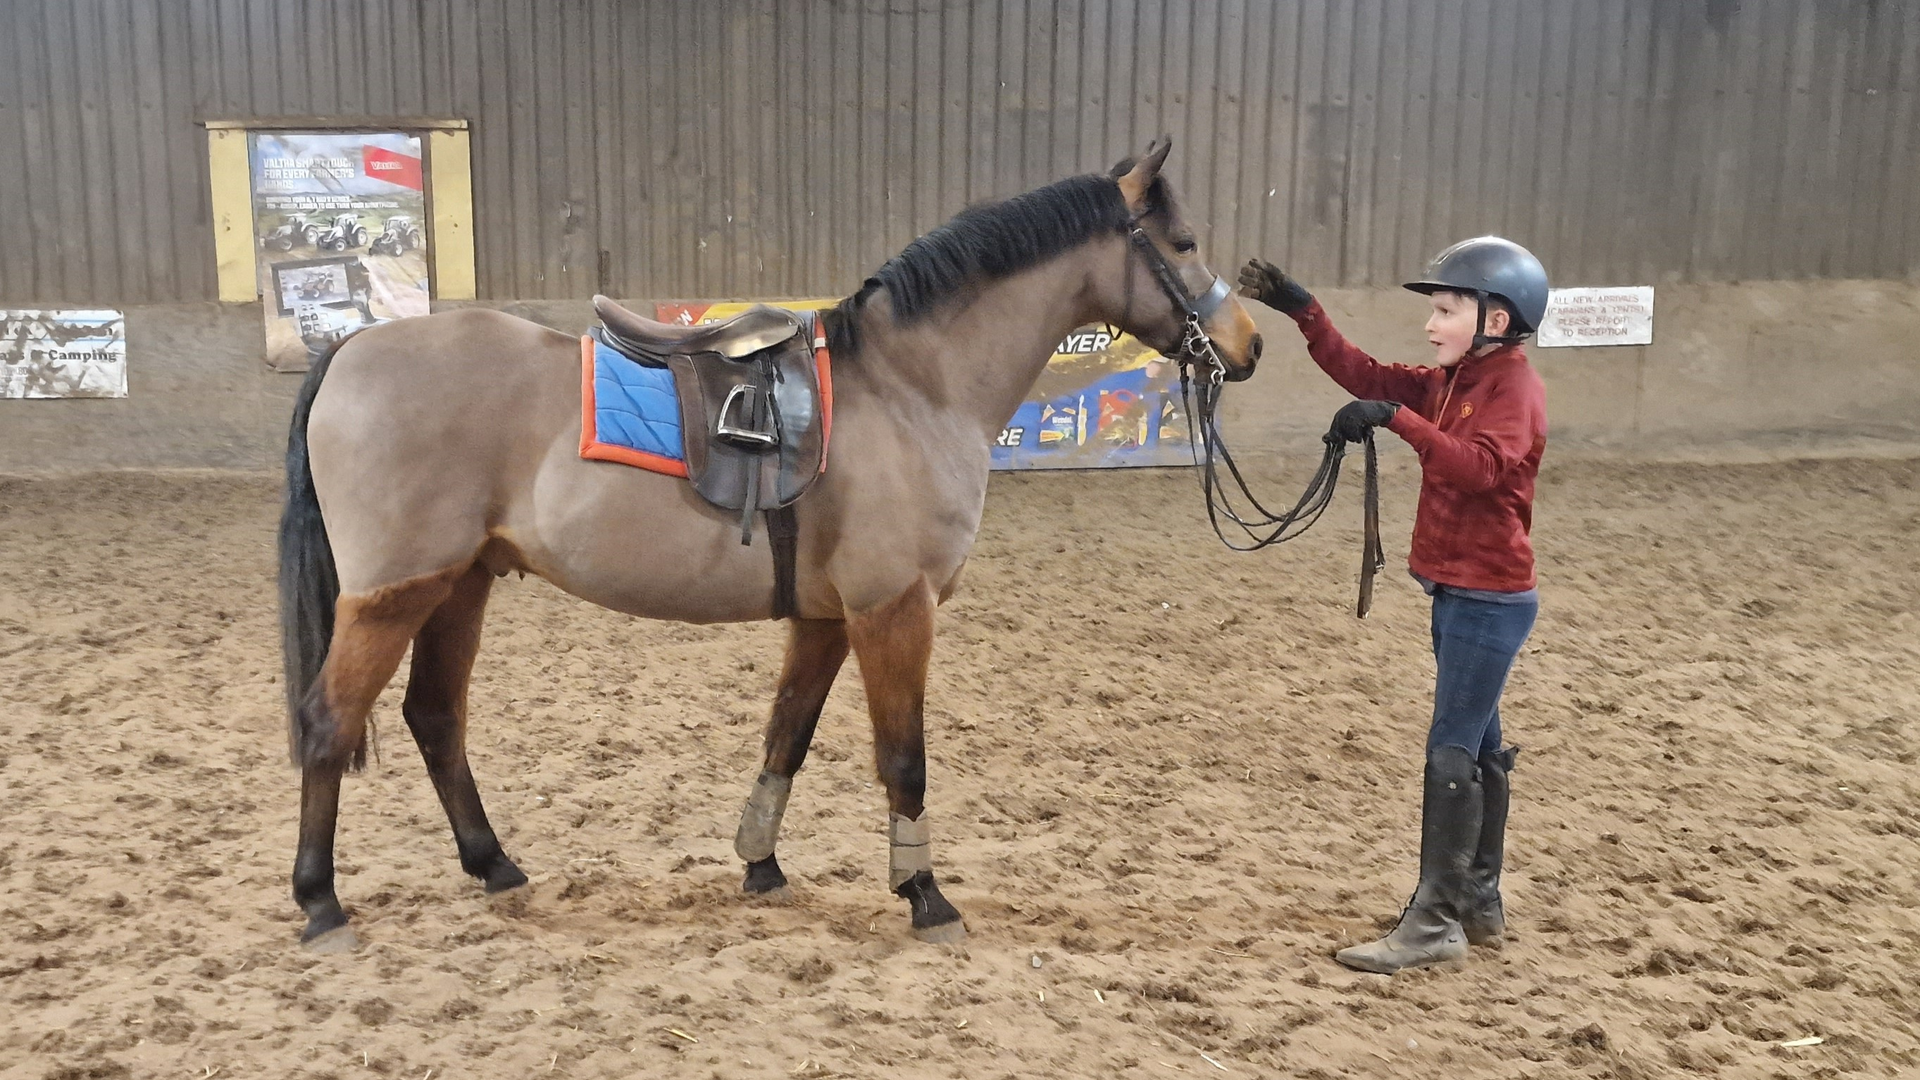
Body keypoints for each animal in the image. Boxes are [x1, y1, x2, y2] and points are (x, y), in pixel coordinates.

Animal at [278, 136, 1262, 949]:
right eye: (1181, 243)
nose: (1247, 343)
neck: (909, 386)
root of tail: (352, 350)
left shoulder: (826, 619)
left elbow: (787, 735)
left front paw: (761, 863)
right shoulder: (893, 610)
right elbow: (904, 759)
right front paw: (925, 895)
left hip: (461, 584)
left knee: (434, 717)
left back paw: (493, 864)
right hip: (396, 593)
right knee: (329, 722)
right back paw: (321, 901)